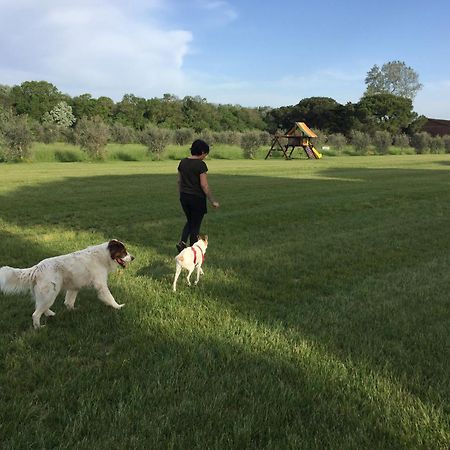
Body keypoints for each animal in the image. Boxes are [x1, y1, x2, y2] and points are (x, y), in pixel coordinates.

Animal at [0, 241, 134, 328]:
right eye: (123, 252)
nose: (133, 257)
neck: (103, 256)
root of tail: (37, 268)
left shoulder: (73, 287)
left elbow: (69, 302)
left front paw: (73, 311)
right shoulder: (101, 285)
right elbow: (110, 297)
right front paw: (118, 307)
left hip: (46, 295)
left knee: (39, 306)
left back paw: (50, 314)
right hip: (50, 294)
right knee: (35, 314)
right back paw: (38, 327)